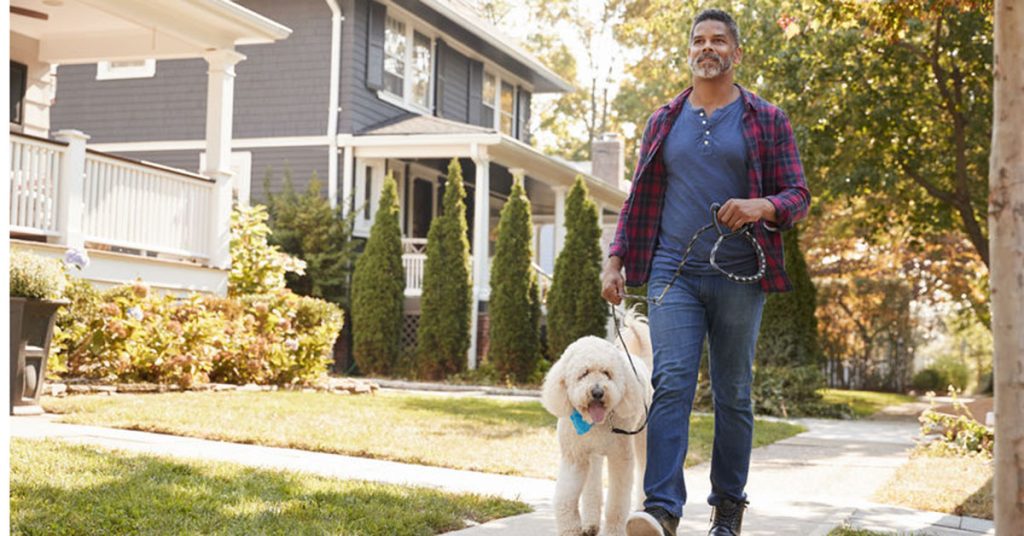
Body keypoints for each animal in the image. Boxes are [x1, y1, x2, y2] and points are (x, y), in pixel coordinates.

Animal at [540, 307, 651, 536]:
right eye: (584, 374)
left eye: (607, 373)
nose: (598, 392)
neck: (595, 424)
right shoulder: (575, 457)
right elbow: (565, 497)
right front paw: (571, 529)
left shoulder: (620, 458)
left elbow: (616, 503)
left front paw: (613, 531)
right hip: (593, 456)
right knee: (592, 486)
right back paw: (590, 523)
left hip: (642, 438)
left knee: (644, 471)